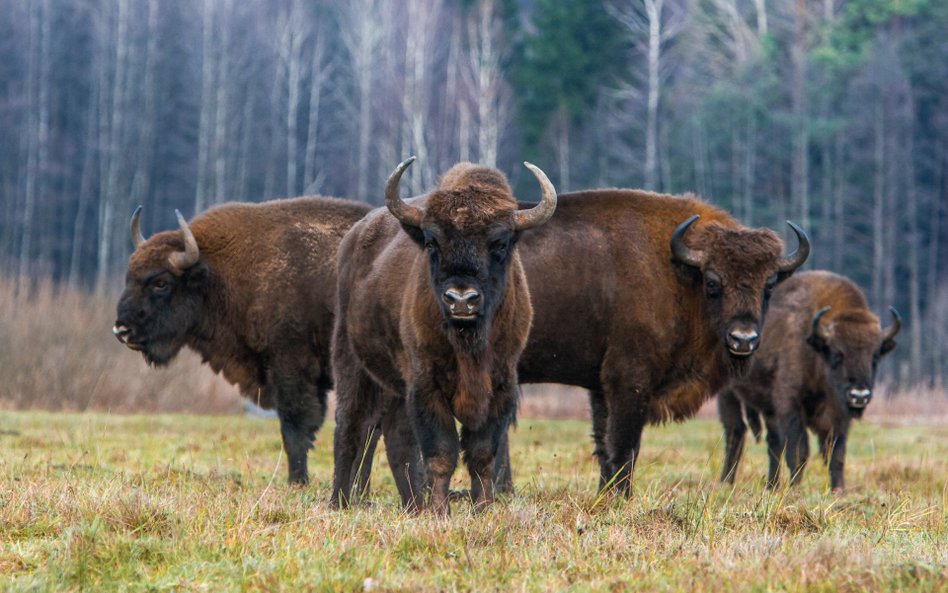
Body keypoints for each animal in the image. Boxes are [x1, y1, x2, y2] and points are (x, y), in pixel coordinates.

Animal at [113, 197, 372, 484]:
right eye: (129, 277)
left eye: (161, 283)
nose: (122, 330)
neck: (219, 273)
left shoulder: (291, 367)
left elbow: (295, 427)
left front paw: (297, 481)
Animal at [332, 156, 556, 512]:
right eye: (432, 242)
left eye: (500, 243)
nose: (461, 299)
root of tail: (353, 238)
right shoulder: (427, 385)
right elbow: (441, 453)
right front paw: (439, 511)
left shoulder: (501, 385)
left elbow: (482, 453)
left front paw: (483, 507)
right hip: (351, 361)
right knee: (350, 427)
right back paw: (338, 502)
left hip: (395, 386)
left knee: (395, 438)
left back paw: (412, 505)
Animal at [508, 188, 812, 490]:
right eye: (712, 282)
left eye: (769, 285)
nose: (743, 339)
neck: (678, 273)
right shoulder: (630, 381)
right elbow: (625, 447)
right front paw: (621, 495)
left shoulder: (600, 388)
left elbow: (604, 446)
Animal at [716, 270, 900, 488]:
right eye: (837, 354)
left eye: (875, 356)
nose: (859, 395)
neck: (816, 350)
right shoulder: (791, 406)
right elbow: (798, 453)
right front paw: (795, 488)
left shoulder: (839, 417)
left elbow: (836, 456)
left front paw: (839, 490)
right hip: (728, 394)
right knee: (735, 432)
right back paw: (725, 482)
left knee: (772, 443)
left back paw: (772, 485)